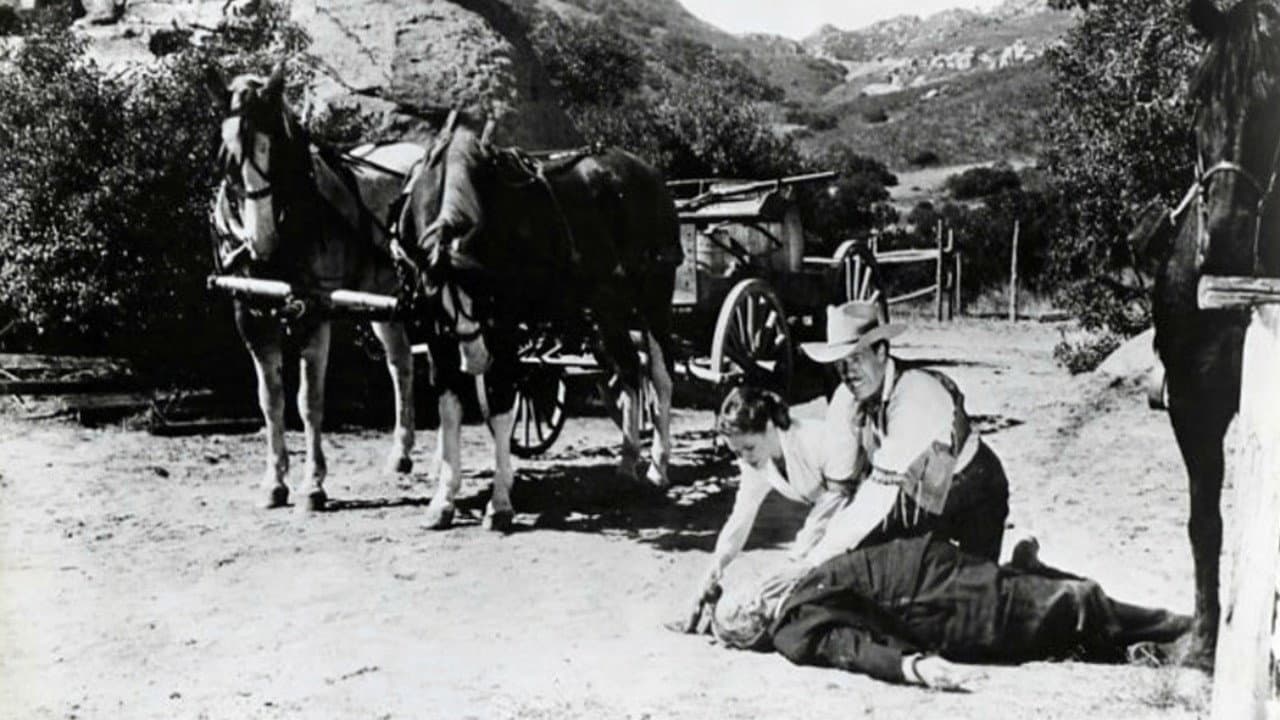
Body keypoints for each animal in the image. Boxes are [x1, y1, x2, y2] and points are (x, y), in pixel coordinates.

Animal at [206, 63, 424, 512]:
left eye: (276, 149)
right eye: (227, 157)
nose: (261, 239)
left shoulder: (315, 314)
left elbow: (309, 402)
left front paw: (313, 484)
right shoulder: (251, 318)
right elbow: (270, 400)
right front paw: (274, 482)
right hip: (384, 301)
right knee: (401, 362)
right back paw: (401, 453)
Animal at [397, 115, 682, 530]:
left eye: (487, 292)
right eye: (439, 301)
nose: (475, 360)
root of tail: (649, 173)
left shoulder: (505, 328)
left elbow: (501, 405)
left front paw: (500, 503)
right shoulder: (438, 333)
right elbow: (449, 408)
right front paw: (443, 500)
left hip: (654, 297)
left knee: (660, 377)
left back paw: (658, 467)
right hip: (606, 307)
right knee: (629, 372)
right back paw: (627, 463)